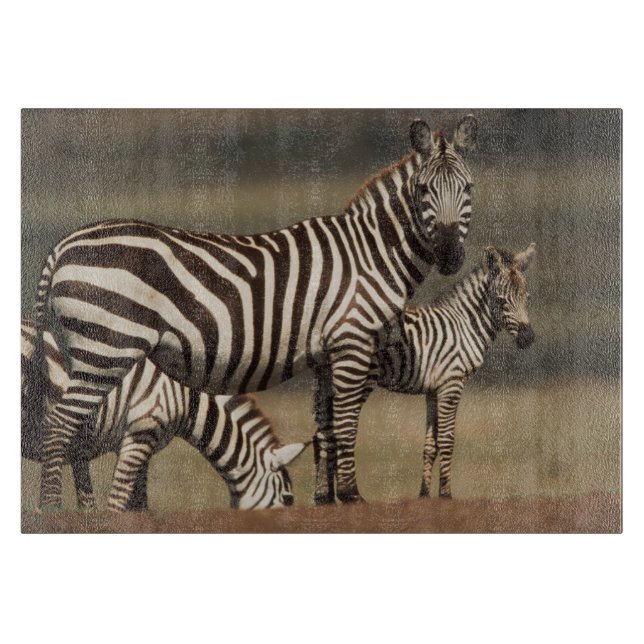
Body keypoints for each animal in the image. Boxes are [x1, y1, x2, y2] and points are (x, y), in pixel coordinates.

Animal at [21, 320, 307, 511]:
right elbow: (118, 504)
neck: (185, 397)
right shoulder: (141, 433)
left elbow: (135, 506)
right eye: (288, 499)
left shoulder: (134, 444)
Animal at [378, 243, 536, 498]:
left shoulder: (433, 389)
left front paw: (424, 496)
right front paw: (446, 494)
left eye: (526, 298)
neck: (463, 326)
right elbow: (446, 440)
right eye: (501, 301)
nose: (528, 338)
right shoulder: (451, 384)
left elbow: (430, 445)